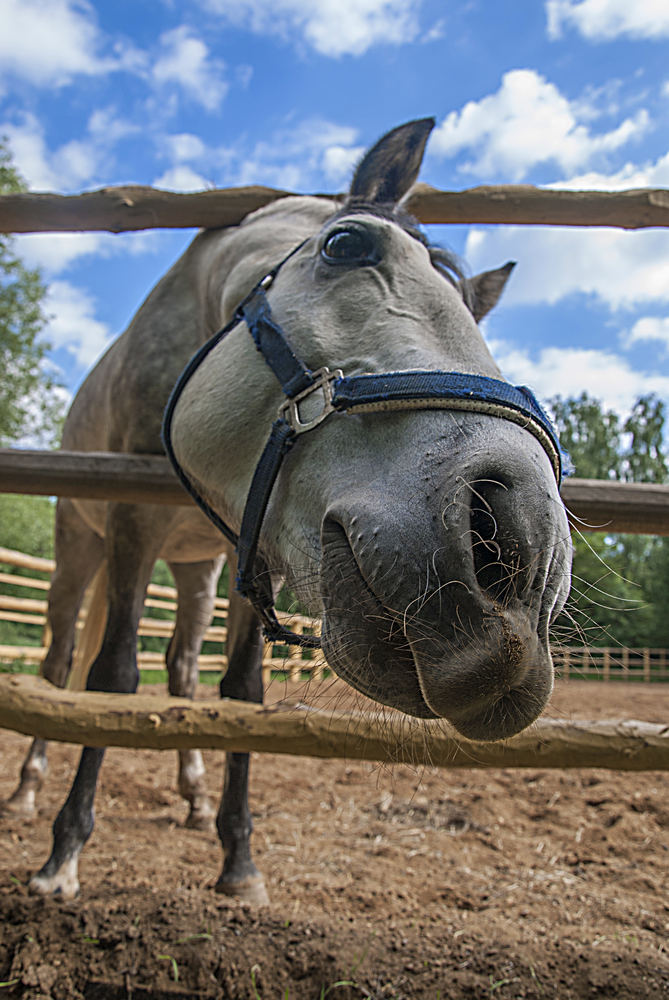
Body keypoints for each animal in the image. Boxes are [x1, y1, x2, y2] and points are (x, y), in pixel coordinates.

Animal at [5, 119, 572, 908]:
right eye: (345, 246)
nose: (517, 539)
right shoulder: (131, 524)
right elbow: (112, 680)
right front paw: (65, 853)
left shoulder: (254, 545)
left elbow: (241, 692)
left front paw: (238, 859)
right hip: (78, 548)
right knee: (61, 664)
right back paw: (30, 791)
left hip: (198, 570)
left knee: (181, 668)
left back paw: (191, 794)